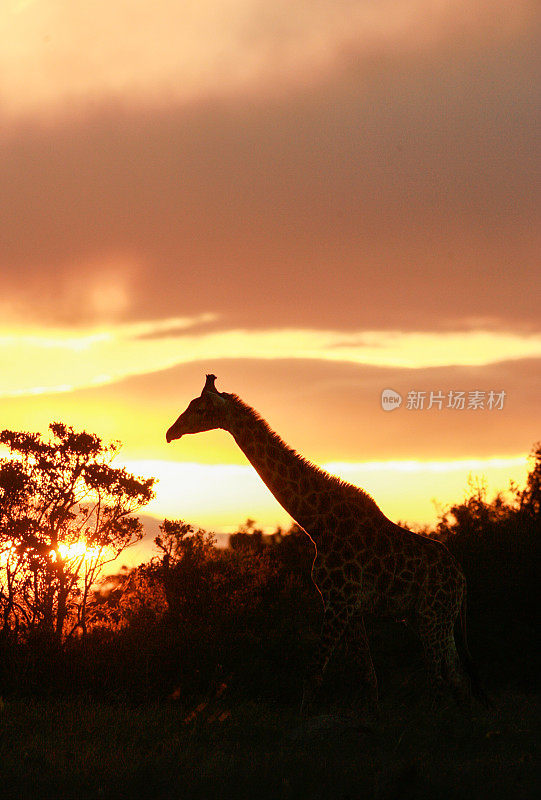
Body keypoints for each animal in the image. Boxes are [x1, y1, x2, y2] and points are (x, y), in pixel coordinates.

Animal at [166, 376, 480, 712]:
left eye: (200, 409)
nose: (170, 432)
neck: (317, 523)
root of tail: (462, 580)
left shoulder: (338, 599)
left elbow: (314, 673)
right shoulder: (349, 605)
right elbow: (369, 676)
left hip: (434, 614)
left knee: (439, 681)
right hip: (430, 617)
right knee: (457, 677)